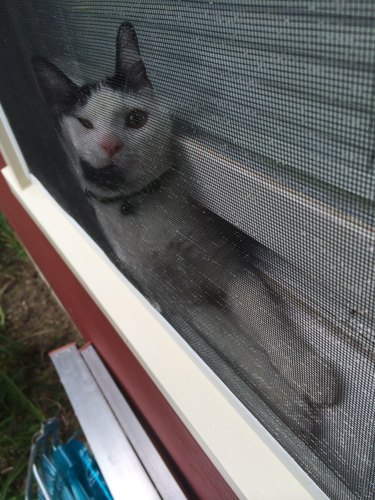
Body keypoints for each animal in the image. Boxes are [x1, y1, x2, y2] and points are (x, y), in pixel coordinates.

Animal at [33, 21, 340, 440]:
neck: (142, 207)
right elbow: (240, 348)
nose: (110, 145)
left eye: (135, 119)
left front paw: (310, 376)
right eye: (84, 124)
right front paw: (291, 407)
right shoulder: (189, 304)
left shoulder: (233, 270)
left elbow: (267, 322)